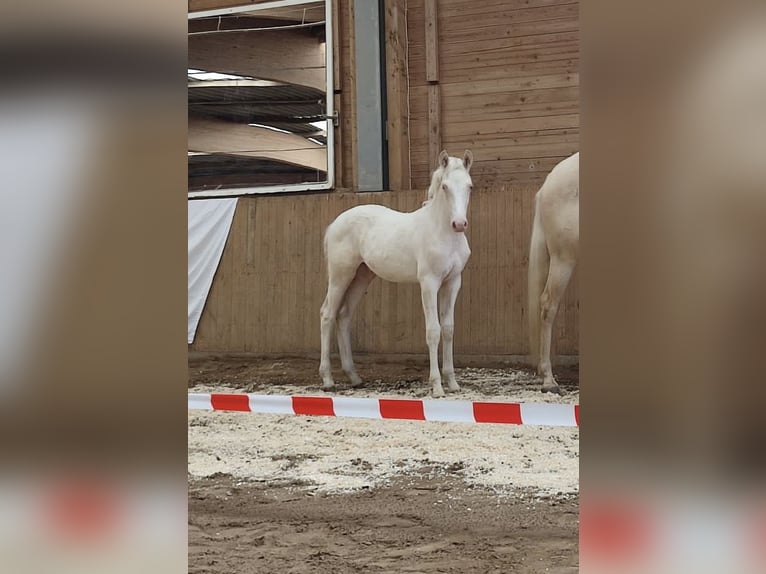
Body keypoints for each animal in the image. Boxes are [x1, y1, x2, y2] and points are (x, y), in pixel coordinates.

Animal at [320, 151, 474, 398]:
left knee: (343, 315)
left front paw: (452, 383)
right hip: (340, 275)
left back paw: (355, 377)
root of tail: (335, 223)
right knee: (327, 314)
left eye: (469, 186)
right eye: (445, 187)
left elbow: (448, 329)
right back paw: (327, 379)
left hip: (361, 276)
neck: (441, 232)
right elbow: (433, 330)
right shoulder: (429, 283)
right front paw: (437, 386)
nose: (459, 224)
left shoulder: (452, 283)